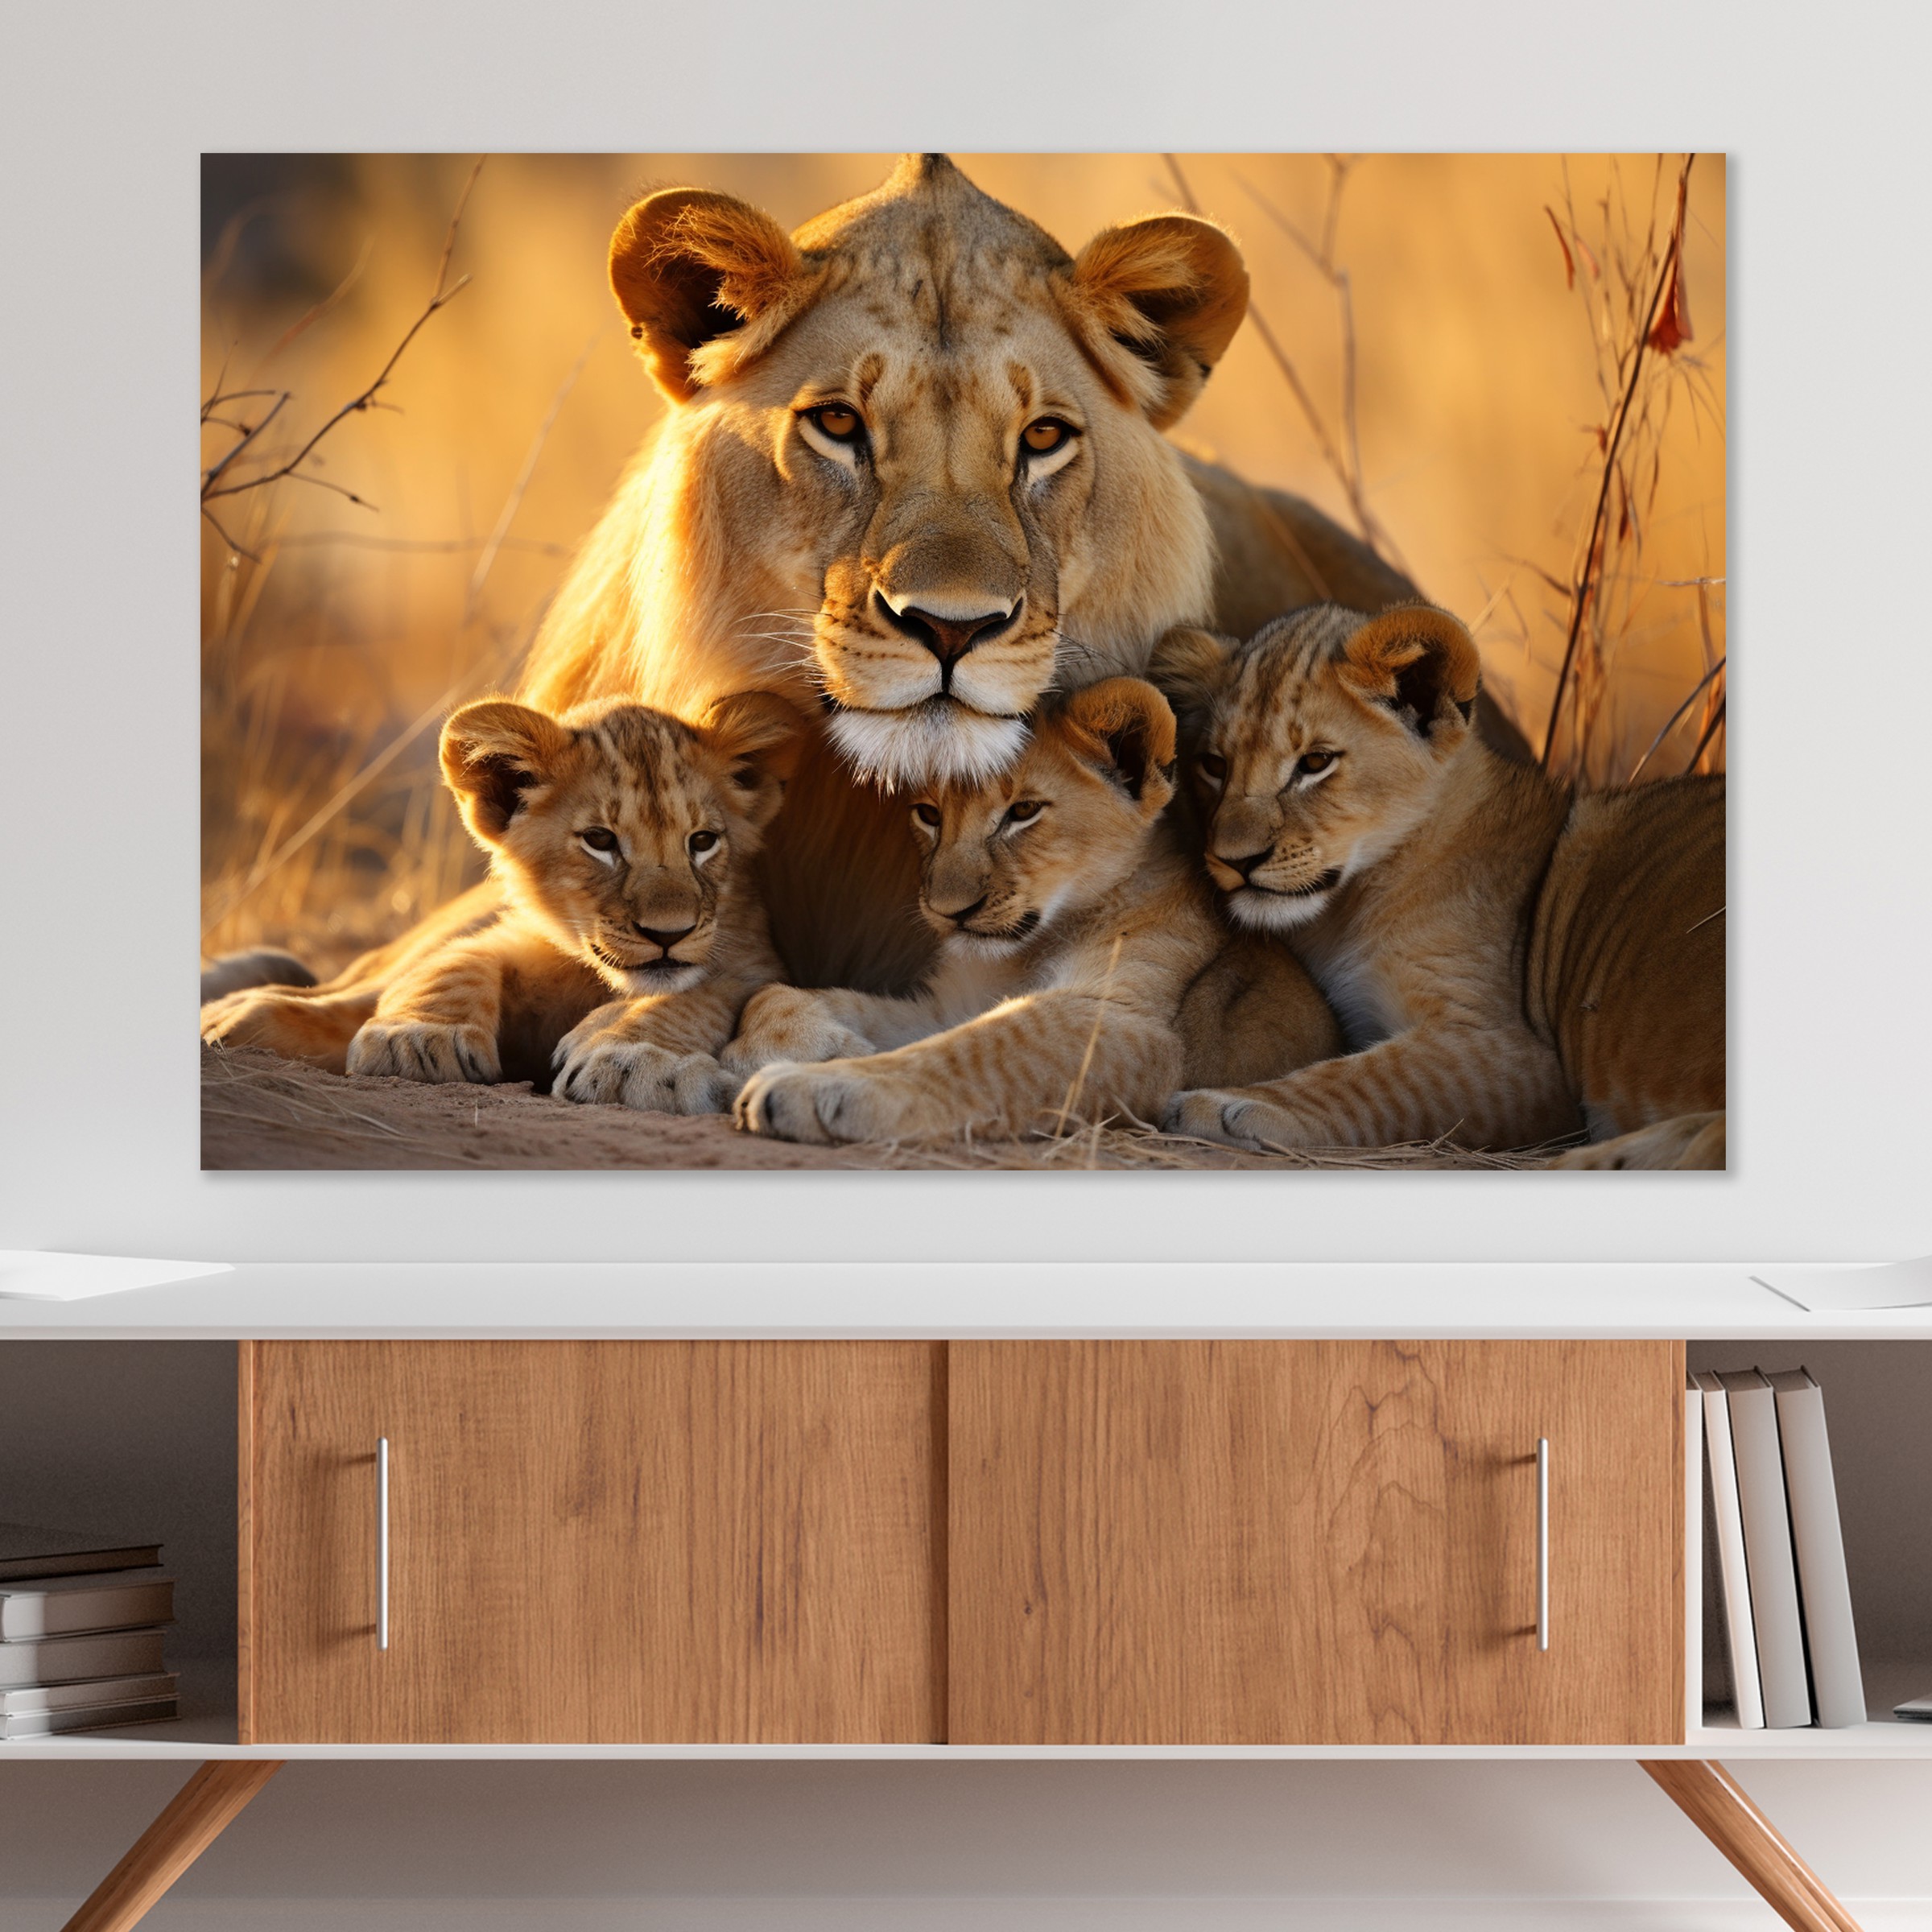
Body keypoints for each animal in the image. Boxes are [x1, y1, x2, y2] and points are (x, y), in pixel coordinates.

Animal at [726, 679, 1339, 1144]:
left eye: (1022, 812)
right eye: (929, 814)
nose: (948, 911)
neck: (1023, 953)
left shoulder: (1132, 1024)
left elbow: (978, 1051)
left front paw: (817, 1085)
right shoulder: (952, 1006)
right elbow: (778, 993)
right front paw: (814, 1046)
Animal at [1152, 605, 1725, 1168]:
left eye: (1315, 762)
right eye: (1215, 765)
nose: (1234, 860)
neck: (1348, 910)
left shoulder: (1522, 1059)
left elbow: (1374, 1080)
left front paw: (1225, 1106)